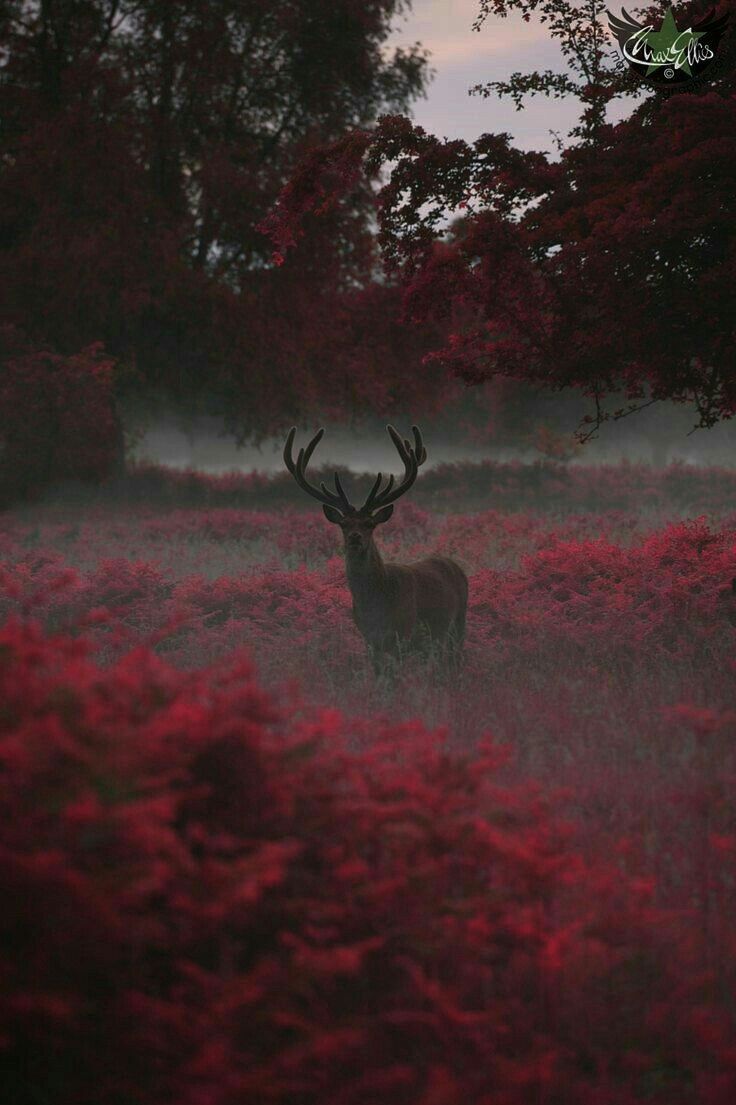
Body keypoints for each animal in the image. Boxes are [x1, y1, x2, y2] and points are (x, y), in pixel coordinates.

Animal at [284, 424, 468, 676]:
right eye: (344, 524)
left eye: (370, 524)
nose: (355, 537)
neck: (375, 604)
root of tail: (455, 566)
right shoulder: (369, 638)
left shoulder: (404, 632)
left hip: (458, 622)